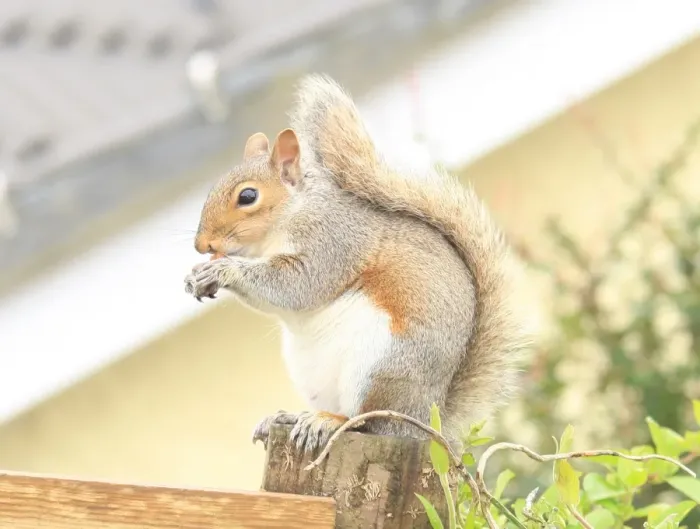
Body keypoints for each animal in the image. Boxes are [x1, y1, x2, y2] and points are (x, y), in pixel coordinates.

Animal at [184, 74, 533, 452]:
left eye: (248, 196)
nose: (202, 244)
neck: (290, 215)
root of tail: (427, 419)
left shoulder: (333, 242)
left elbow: (298, 285)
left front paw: (223, 270)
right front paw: (195, 277)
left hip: (379, 367)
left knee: (367, 423)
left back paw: (328, 423)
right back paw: (290, 418)